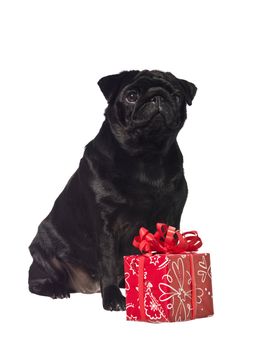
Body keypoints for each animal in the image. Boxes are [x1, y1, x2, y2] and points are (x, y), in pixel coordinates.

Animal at [28, 69, 197, 310]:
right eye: (131, 96)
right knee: (36, 281)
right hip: (42, 252)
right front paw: (113, 299)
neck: (146, 157)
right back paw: (56, 289)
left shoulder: (171, 217)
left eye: (176, 96)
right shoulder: (106, 226)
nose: (157, 96)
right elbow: (107, 262)